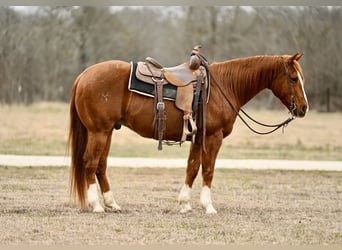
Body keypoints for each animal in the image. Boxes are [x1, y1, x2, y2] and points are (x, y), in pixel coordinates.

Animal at [68, 52, 308, 213]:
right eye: (293, 78)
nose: (304, 108)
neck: (225, 85)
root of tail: (83, 75)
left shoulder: (197, 138)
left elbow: (192, 168)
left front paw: (184, 204)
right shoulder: (213, 137)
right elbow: (208, 170)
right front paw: (208, 206)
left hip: (107, 131)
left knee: (100, 165)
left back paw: (112, 203)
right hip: (98, 131)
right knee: (90, 163)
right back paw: (96, 205)